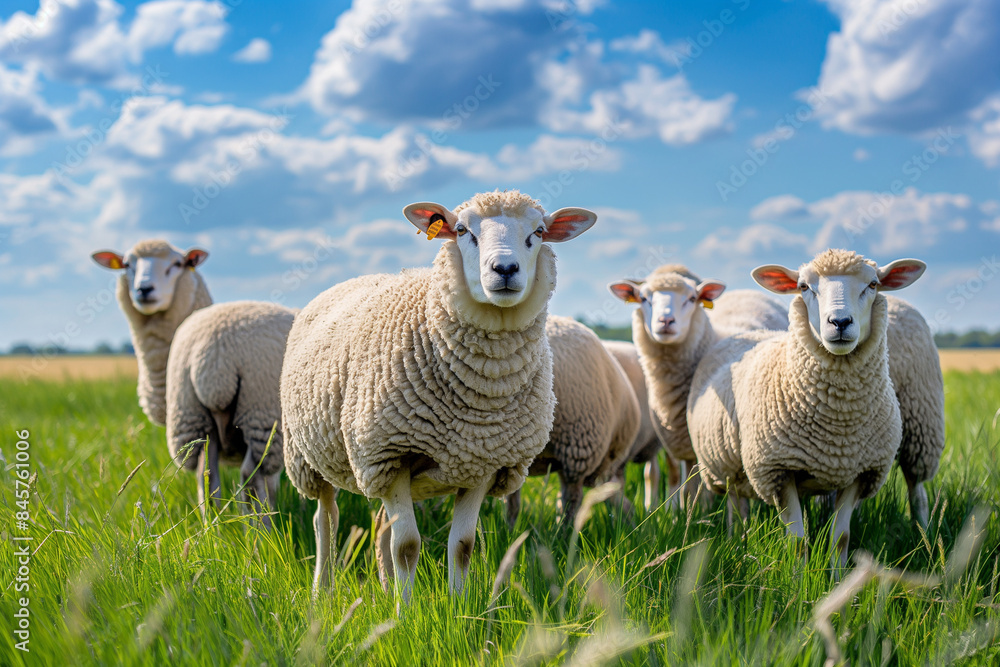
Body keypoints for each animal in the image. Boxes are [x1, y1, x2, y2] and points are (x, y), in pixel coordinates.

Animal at [92, 241, 295, 526]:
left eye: (177, 264)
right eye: (127, 264)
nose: (144, 290)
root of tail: (217, 355)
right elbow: (272, 485)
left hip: (196, 416)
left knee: (207, 476)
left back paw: (217, 529)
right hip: (261, 413)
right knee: (250, 476)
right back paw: (260, 531)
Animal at [279, 190, 596, 602]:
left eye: (539, 232)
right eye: (461, 230)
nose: (505, 268)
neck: (483, 394)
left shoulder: (483, 461)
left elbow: (462, 545)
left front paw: (458, 606)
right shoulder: (389, 453)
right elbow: (407, 546)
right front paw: (406, 611)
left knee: (380, 525)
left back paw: (384, 588)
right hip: (308, 456)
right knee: (326, 519)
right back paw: (324, 592)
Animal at [608, 266, 789, 507]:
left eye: (692, 298)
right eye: (644, 298)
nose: (666, 321)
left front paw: (700, 511)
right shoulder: (675, 439)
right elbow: (678, 481)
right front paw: (675, 512)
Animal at [686, 249, 926, 568]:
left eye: (873, 284)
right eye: (803, 286)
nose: (840, 321)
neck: (839, 420)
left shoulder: (860, 473)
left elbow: (840, 538)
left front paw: (837, 577)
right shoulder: (777, 471)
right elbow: (797, 542)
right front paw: (798, 578)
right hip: (727, 469)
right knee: (737, 511)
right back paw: (737, 543)